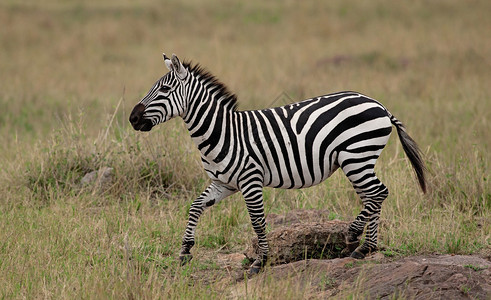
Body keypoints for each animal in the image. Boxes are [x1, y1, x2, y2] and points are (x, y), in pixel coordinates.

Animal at [130, 54, 426, 274]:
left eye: (164, 90)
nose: (133, 118)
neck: (221, 132)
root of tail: (379, 105)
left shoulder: (250, 180)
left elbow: (258, 222)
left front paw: (260, 262)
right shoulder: (223, 183)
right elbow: (195, 207)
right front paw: (185, 251)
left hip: (356, 156)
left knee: (379, 193)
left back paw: (358, 238)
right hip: (358, 161)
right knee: (371, 197)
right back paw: (367, 246)